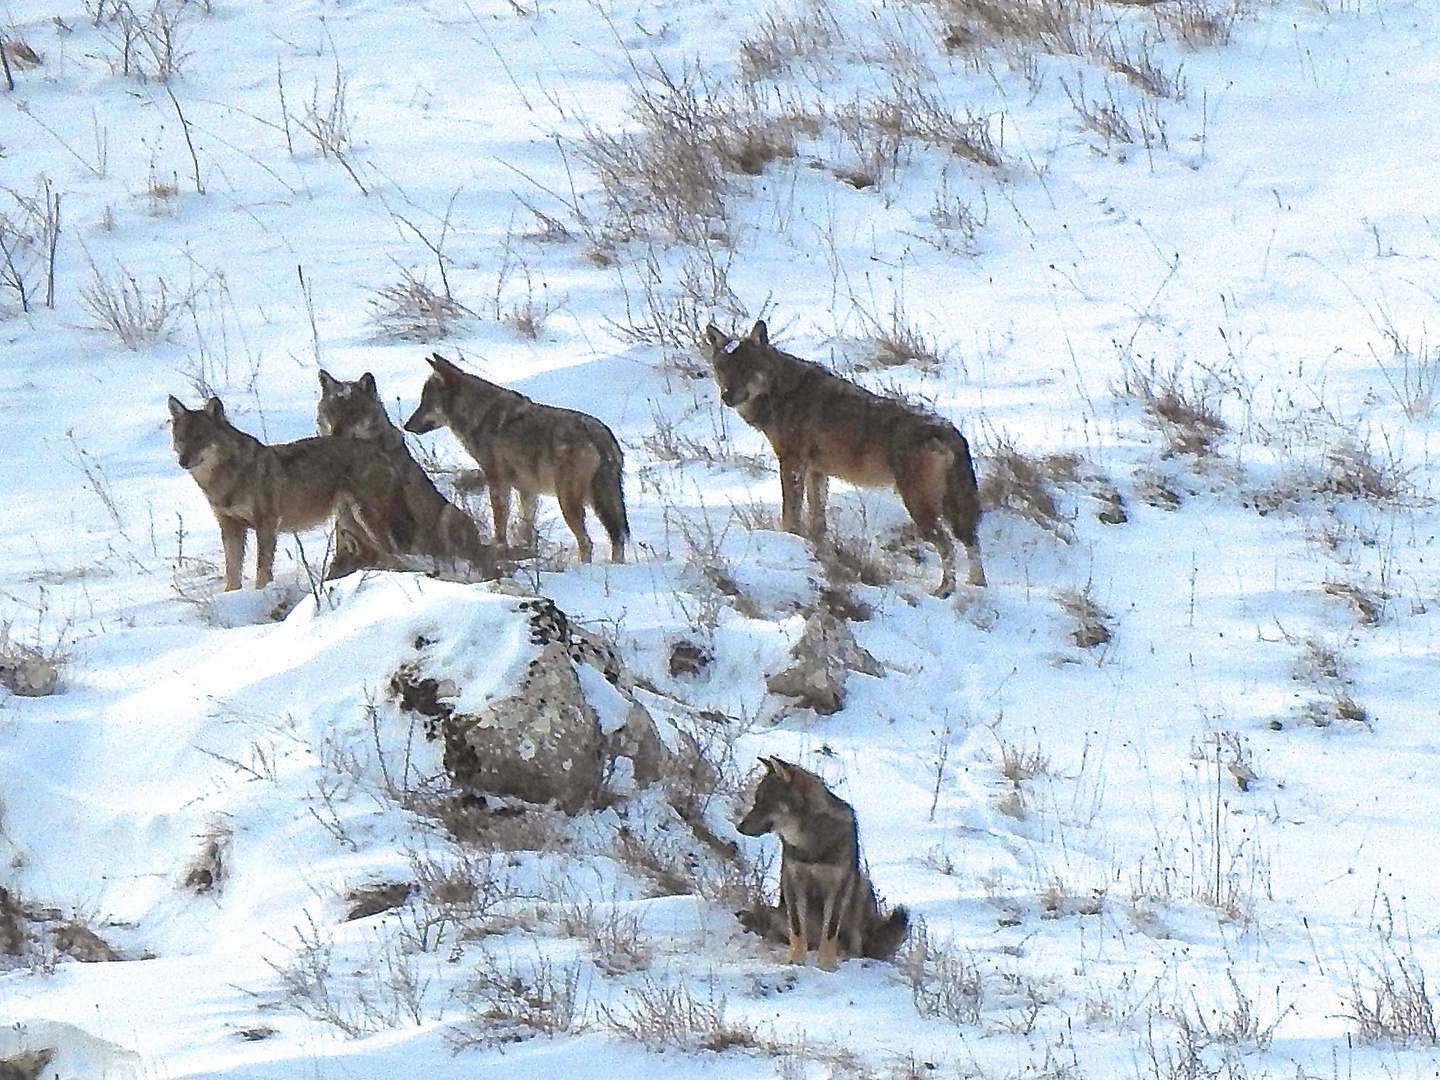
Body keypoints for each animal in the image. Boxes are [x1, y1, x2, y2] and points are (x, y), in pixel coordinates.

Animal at [169, 394, 417, 593]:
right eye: (181, 439)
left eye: (200, 437)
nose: (183, 461)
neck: (225, 480)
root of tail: (379, 450)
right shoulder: (229, 527)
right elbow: (232, 569)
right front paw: (230, 595)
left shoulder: (266, 524)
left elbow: (262, 567)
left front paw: (260, 591)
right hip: (350, 523)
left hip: (367, 519)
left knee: (390, 551)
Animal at [313, 371, 495, 584]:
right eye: (329, 413)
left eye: (352, 413)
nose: (332, 438)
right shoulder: (343, 517)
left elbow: (390, 549)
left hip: (450, 513)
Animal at [406, 355, 630, 567]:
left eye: (425, 402)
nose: (406, 426)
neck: (480, 415)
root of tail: (599, 433)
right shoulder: (527, 490)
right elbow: (525, 527)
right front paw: (525, 553)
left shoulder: (497, 482)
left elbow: (500, 523)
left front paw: (500, 549)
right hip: (597, 502)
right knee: (617, 537)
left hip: (570, 503)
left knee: (588, 542)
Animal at [702, 321, 984, 596]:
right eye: (722, 369)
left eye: (746, 369)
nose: (726, 396)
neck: (781, 392)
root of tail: (948, 431)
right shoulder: (816, 472)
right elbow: (817, 522)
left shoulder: (792, 464)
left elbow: (790, 515)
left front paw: (790, 541)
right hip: (948, 506)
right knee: (970, 540)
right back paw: (976, 585)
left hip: (919, 507)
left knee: (948, 545)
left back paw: (945, 589)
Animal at [737, 754, 904, 979]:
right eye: (757, 799)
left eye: (764, 801)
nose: (739, 827)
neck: (810, 843)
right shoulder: (792, 880)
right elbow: (797, 929)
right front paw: (795, 959)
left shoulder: (837, 886)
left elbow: (830, 930)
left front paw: (826, 964)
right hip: (781, 912)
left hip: (860, 884)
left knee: (856, 944)